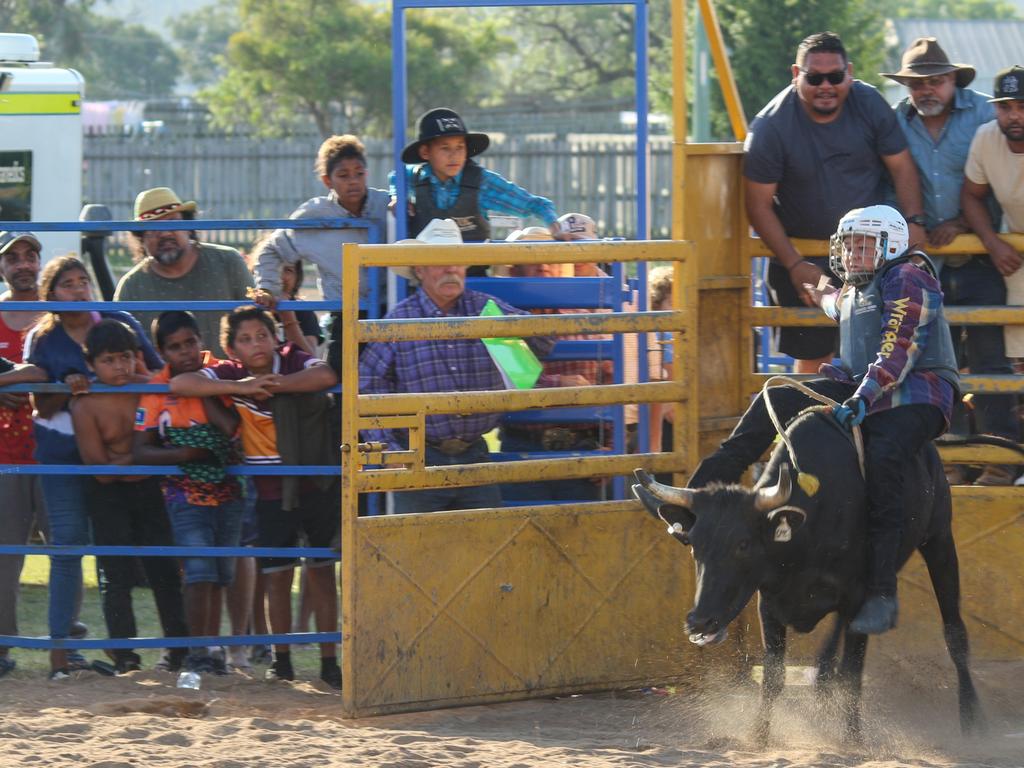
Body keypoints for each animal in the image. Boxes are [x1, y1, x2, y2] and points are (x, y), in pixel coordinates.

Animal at [630, 411, 983, 741]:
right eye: (693, 544)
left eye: (743, 544)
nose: (699, 621)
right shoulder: (769, 604)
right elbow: (773, 677)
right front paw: (759, 736)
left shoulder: (859, 597)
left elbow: (853, 673)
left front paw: (852, 739)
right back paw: (824, 681)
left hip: (939, 539)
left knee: (954, 632)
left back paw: (970, 715)